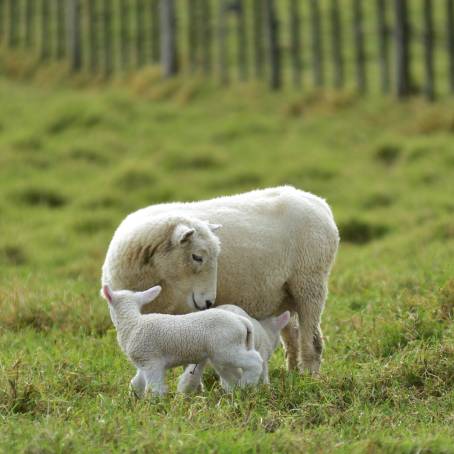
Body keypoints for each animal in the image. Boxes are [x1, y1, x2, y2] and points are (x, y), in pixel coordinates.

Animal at [100, 286, 262, 396]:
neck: (133, 324)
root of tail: (242, 321)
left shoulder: (152, 361)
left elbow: (154, 387)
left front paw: (155, 404)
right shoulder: (143, 363)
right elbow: (136, 382)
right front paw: (134, 398)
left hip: (227, 349)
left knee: (255, 361)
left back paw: (247, 384)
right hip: (225, 353)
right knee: (233, 374)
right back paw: (237, 391)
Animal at [102, 186, 336, 374]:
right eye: (197, 257)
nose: (208, 302)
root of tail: (319, 202)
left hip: (310, 280)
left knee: (312, 339)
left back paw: (309, 376)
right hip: (284, 294)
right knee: (292, 334)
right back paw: (292, 373)